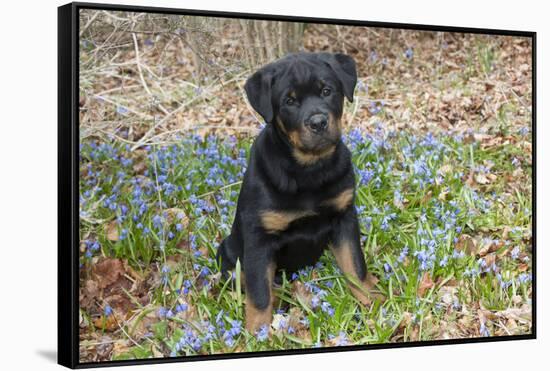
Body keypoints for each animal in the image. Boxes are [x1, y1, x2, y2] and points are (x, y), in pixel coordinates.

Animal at [217, 51, 380, 332]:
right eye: (289, 101)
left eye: (326, 90)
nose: (318, 122)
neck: (308, 170)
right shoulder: (259, 238)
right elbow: (259, 293)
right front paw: (258, 333)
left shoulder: (344, 217)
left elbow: (355, 265)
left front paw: (371, 301)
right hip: (228, 251)